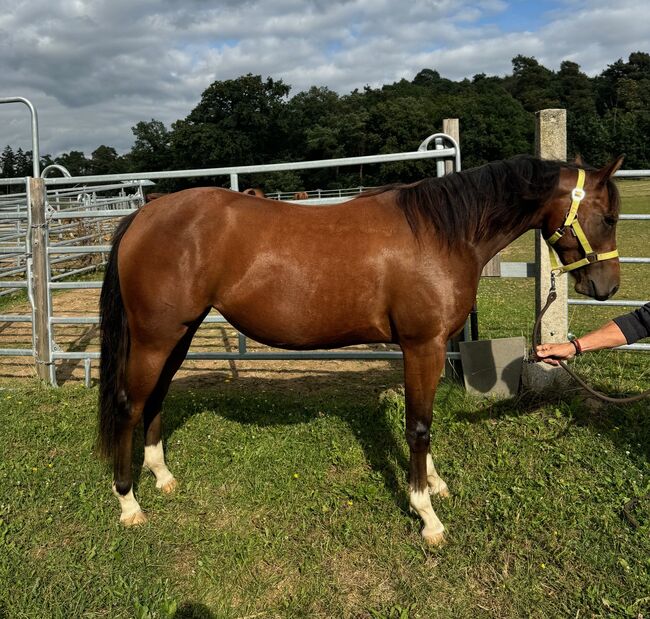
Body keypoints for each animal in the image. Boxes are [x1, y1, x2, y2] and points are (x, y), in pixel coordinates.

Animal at [98, 154, 620, 544]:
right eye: (608, 216)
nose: (607, 287)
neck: (440, 234)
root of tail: (144, 214)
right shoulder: (423, 347)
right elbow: (418, 427)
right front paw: (426, 514)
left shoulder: (425, 350)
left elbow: (422, 422)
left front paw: (434, 484)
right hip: (156, 337)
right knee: (128, 405)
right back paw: (128, 501)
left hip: (178, 334)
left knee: (156, 399)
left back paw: (162, 476)